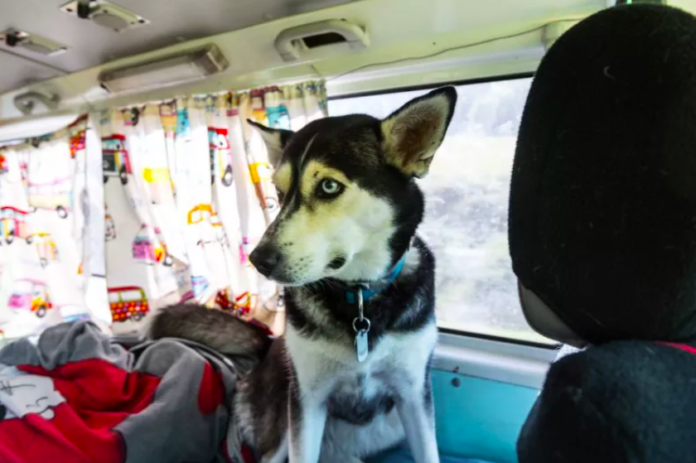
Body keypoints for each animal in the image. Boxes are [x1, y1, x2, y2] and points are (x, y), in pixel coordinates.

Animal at [148, 88, 456, 463]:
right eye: (279, 193)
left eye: (328, 186)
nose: (258, 260)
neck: (359, 299)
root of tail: (268, 346)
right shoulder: (306, 402)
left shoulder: (413, 396)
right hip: (282, 415)